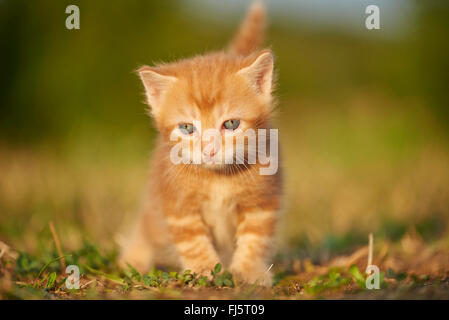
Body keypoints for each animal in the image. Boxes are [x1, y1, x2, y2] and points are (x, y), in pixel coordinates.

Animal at [119, 1, 280, 286]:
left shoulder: (263, 199)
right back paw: (134, 259)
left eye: (231, 124)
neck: (217, 180)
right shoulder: (177, 204)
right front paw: (205, 269)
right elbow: (192, 241)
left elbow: (256, 238)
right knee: (146, 226)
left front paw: (249, 272)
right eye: (187, 128)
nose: (209, 150)